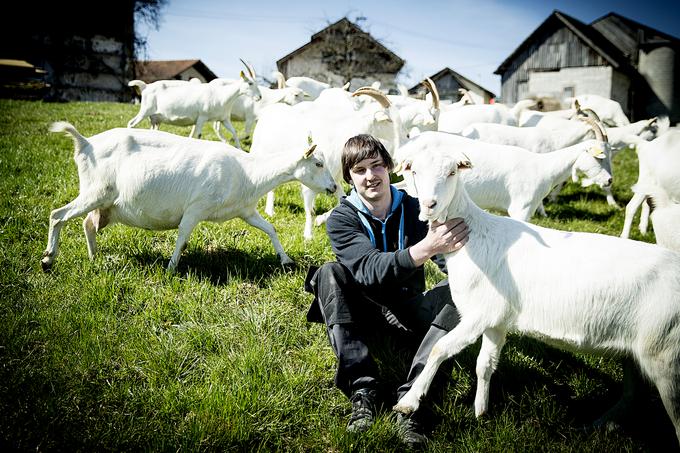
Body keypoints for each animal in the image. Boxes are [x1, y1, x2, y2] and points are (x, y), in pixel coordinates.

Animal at [41, 122, 336, 270]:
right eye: (318, 163)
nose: (333, 188)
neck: (248, 172)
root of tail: (85, 142)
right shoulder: (196, 207)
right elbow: (182, 236)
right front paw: (171, 268)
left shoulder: (246, 211)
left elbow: (270, 228)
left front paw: (286, 260)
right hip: (95, 191)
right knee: (58, 215)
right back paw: (48, 259)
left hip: (104, 203)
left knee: (88, 224)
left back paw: (94, 258)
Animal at [394, 146, 680, 444]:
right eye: (415, 171)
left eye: (452, 172)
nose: (429, 205)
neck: (473, 237)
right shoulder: (496, 319)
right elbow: (484, 364)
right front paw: (481, 412)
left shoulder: (478, 314)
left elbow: (440, 349)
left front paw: (409, 402)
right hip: (638, 352)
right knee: (633, 396)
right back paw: (600, 426)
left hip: (665, 353)